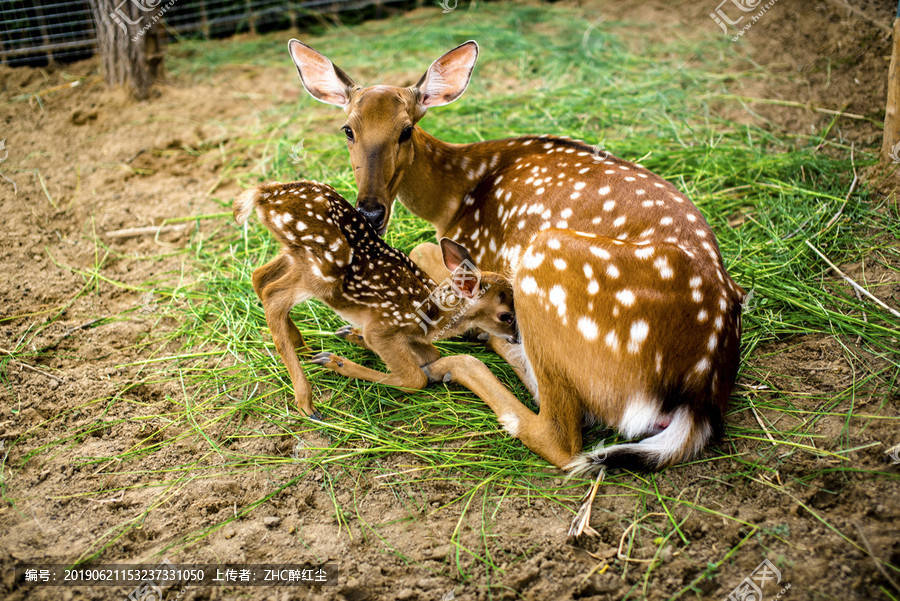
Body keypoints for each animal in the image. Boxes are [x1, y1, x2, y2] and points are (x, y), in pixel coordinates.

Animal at [288, 39, 744, 476]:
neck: (455, 197)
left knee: (559, 436)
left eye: (406, 130)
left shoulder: (474, 245)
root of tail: (698, 397)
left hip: (544, 262)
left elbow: (425, 254)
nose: (369, 212)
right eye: (348, 129)